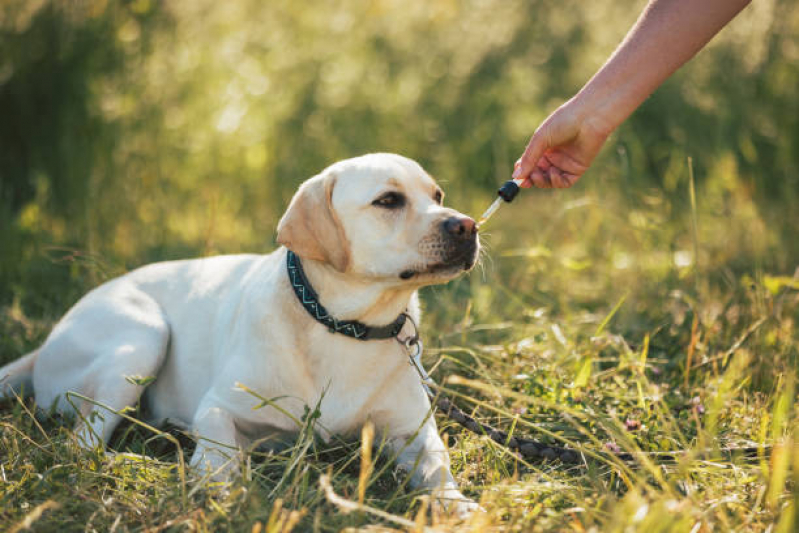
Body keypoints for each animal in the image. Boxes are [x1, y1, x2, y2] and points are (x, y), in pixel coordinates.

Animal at [0, 152, 482, 512]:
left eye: (437, 195)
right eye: (388, 200)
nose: (467, 225)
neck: (342, 325)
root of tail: (47, 340)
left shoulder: (412, 432)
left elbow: (438, 468)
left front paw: (457, 506)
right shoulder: (218, 407)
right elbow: (220, 453)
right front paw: (220, 487)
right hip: (143, 338)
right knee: (82, 443)